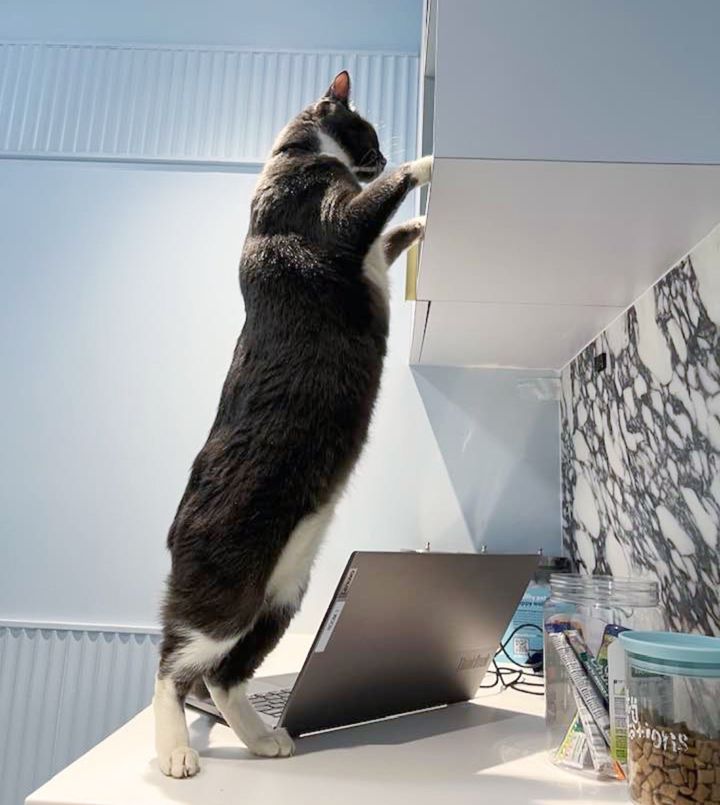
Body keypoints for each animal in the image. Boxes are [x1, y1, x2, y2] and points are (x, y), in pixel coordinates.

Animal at [154, 72, 430, 776]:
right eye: (368, 132)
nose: (380, 155)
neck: (292, 157)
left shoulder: (367, 248)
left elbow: (388, 237)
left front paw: (417, 220)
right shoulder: (328, 218)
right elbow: (370, 210)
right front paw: (426, 164)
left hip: (282, 595)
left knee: (224, 675)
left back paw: (261, 737)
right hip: (225, 593)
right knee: (174, 664)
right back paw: (175, 751)